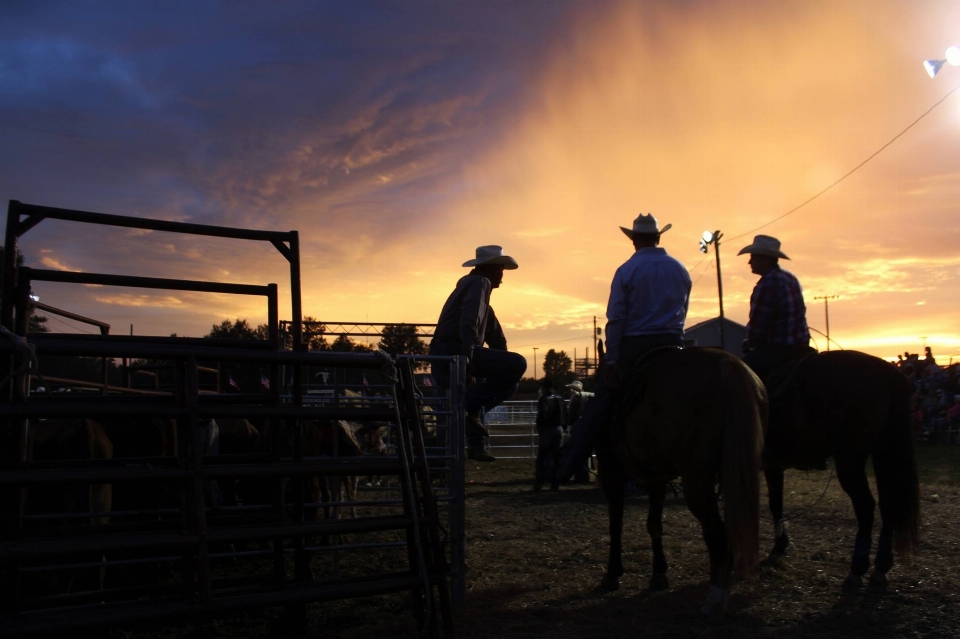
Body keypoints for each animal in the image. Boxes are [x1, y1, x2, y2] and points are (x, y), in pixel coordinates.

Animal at [596, 348, 768, 616]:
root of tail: (727, 364)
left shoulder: (611, 475)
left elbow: (616, 526)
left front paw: (613, 574)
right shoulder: (656, 479)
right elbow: (654, 524)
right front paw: (658, 574)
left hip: (696, 482)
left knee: (718, 533)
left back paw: (716, 599)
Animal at [764, 350, 924, 592]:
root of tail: (881, 368)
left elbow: (773, 504)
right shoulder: (774, 465)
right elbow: (776, 504)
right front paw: (780, 546)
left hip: (850, 461)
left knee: (865, 507)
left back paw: (857, 569)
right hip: (881, 451)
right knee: (888, 504)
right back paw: (881, 567)